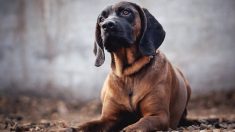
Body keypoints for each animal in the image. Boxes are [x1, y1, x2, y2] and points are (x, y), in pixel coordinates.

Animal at [78, 1, 192, 131]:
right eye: (101, 19)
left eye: (125, 12)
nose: (106, 25)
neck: (129, 74)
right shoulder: (109, 118)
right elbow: (88, 124)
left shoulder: (158, 115)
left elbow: (141, 123)